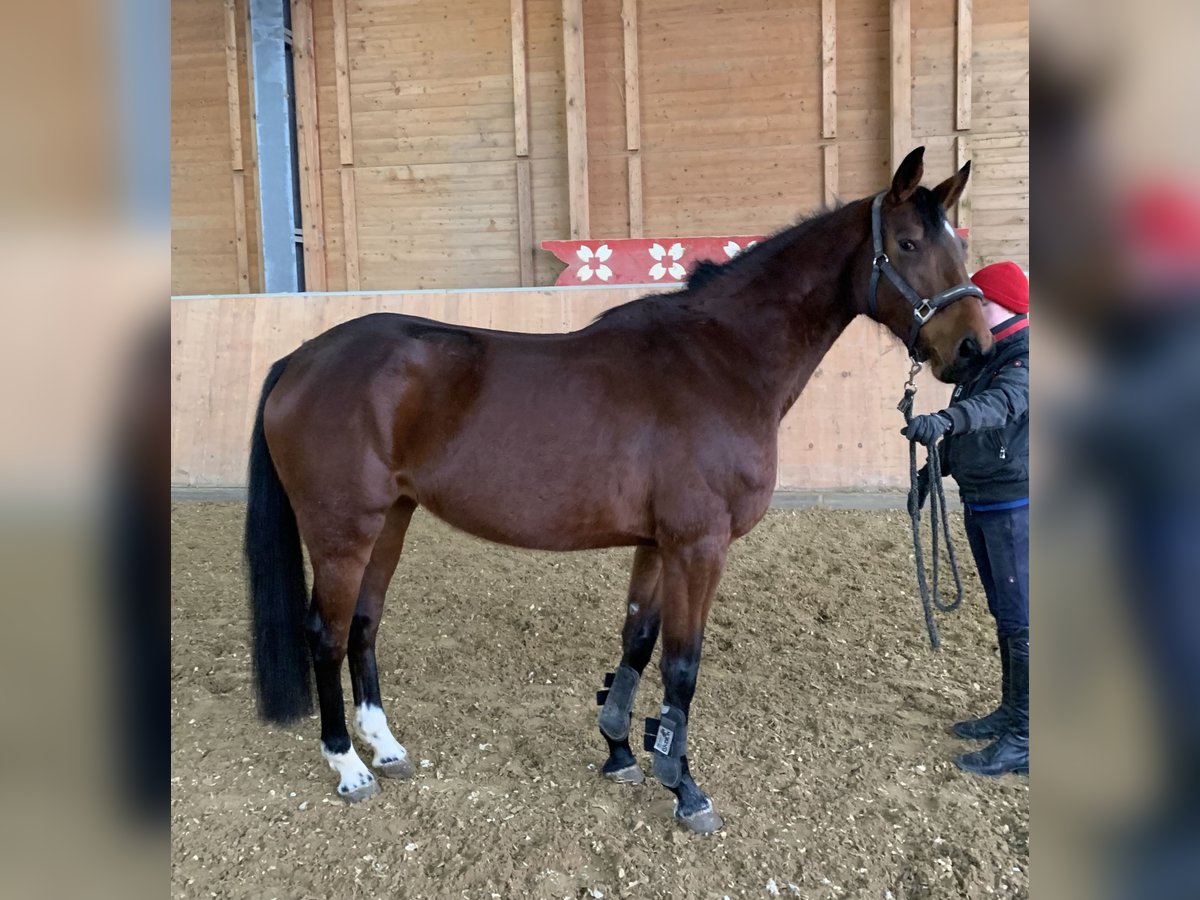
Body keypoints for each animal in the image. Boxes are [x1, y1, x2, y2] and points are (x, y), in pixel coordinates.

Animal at [246, 150, 993, 840]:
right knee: (326, 632)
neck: (720, 361)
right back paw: (348, 765)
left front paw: (621, 751)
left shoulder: (658, 545)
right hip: (343, 531)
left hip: (390, 522)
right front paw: (685, 788)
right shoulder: (699, 546)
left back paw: (385, 747)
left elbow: (636, 642)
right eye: (908, 244)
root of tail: (299, 359)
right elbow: (682, 666)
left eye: (959, 246)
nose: (973, 349)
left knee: (363, 625)